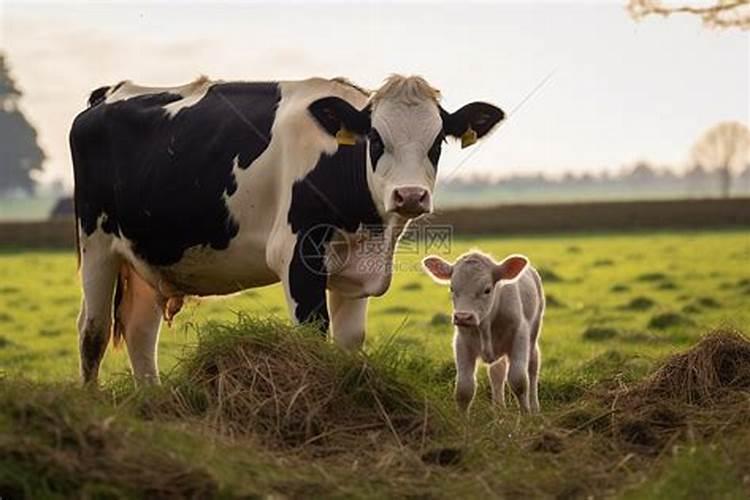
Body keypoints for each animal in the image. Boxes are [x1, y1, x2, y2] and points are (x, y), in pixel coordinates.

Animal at [70, 74, 506, 384]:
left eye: (437, 142)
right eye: (376, 138)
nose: (410, 195)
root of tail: (110, 94)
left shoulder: (355, 272)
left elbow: (348, 343)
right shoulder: (297, 256)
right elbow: (313, 334)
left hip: (145, 257)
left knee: (141, 333)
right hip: (96, 245)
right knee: (93, 332)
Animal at [424, 250, 548, 414]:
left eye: (487, 290)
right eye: (452, 288)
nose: (463, 317)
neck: (486, 326)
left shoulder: (520, 337)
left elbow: (519, 381)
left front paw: (526, 415)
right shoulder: (462, 344)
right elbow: (464, 389)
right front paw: (462, 419)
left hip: (533, 334)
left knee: (533, 367)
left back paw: (534, 407)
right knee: (497, 373)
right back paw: (499, 408)